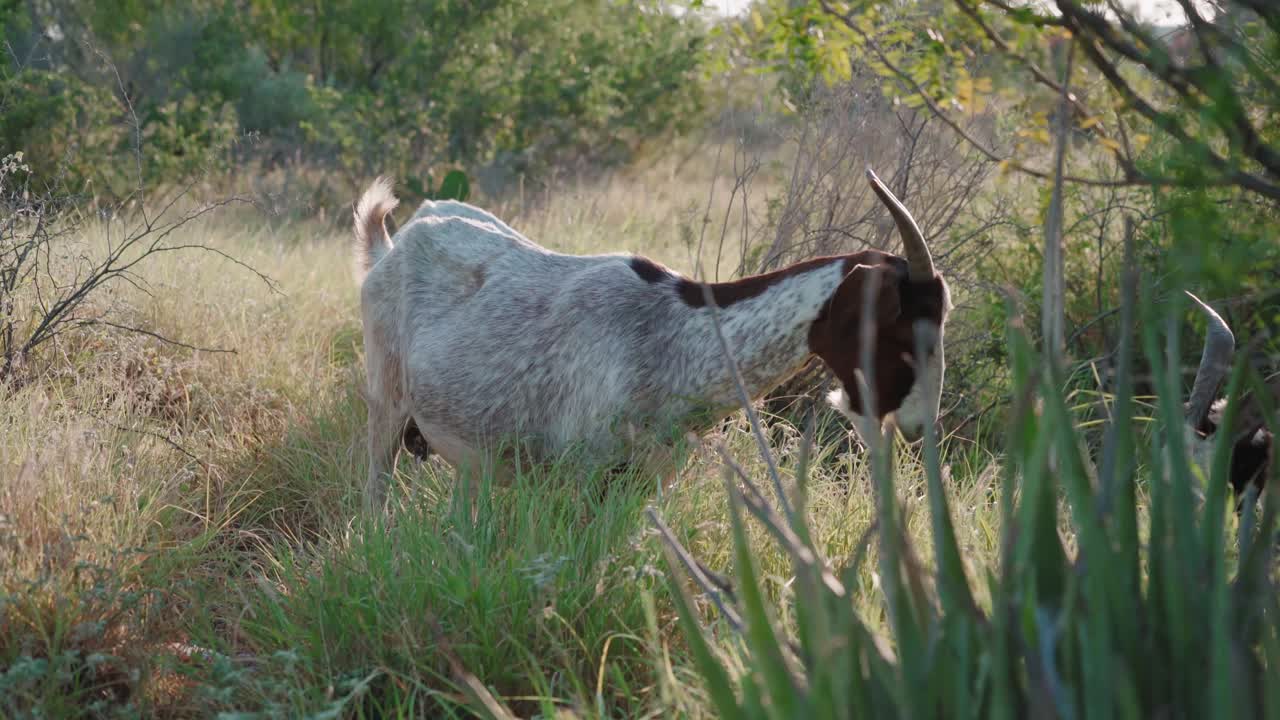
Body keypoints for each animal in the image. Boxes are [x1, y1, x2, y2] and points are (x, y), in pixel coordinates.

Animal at [352, 170, 952, 511]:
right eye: (904, 326)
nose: (918, 428)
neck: (675, 340)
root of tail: (392, 248)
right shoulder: (586, 477)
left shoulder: (646, 485)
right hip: (386, 403)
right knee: (375, 488)